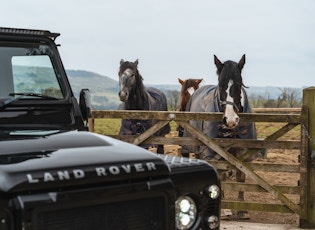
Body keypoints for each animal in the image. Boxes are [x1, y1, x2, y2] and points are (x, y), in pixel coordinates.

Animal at [181, 54, 258, 219]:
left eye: (239, 84)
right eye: (220, 86)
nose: (230, 120)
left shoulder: (243, 152)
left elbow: (241, 177)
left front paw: (242, 210)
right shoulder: (215, 151)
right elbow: (221, 176)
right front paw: (224, 210)